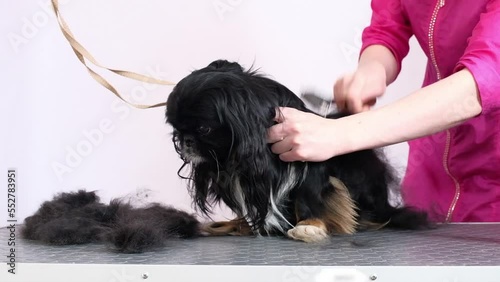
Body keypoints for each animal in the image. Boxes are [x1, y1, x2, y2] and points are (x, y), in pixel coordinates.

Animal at [166, 59, 428, 242]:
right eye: (176, 128)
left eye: (204, 129)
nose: (186, 141)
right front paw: (241, 223)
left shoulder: (310, 164)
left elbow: (309, 196)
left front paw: (310, 225)